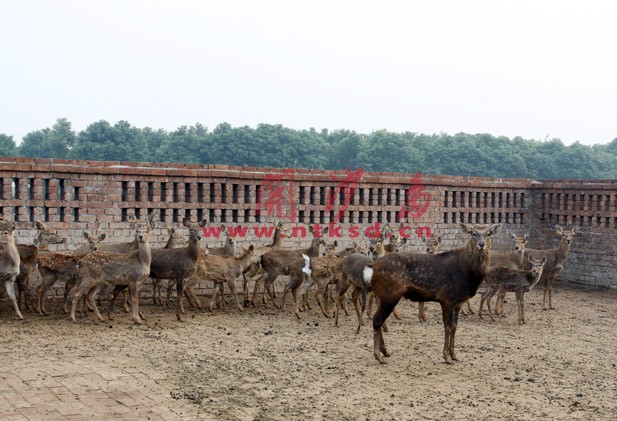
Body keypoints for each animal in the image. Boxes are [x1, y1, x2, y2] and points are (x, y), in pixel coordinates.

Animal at [364, 223, 498, 364]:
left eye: (488, 233)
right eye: (473, 233)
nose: (482, 244)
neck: (468, 274)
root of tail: (373, 267)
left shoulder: (458, 302)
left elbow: (455, 327)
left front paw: (454, 355)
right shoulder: (447, 298)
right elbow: (448, 327)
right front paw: (446, 357)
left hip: (384, 295)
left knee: (378, 319)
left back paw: (385, 351)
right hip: (390, 294)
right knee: (377, 319)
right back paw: (378, 356)